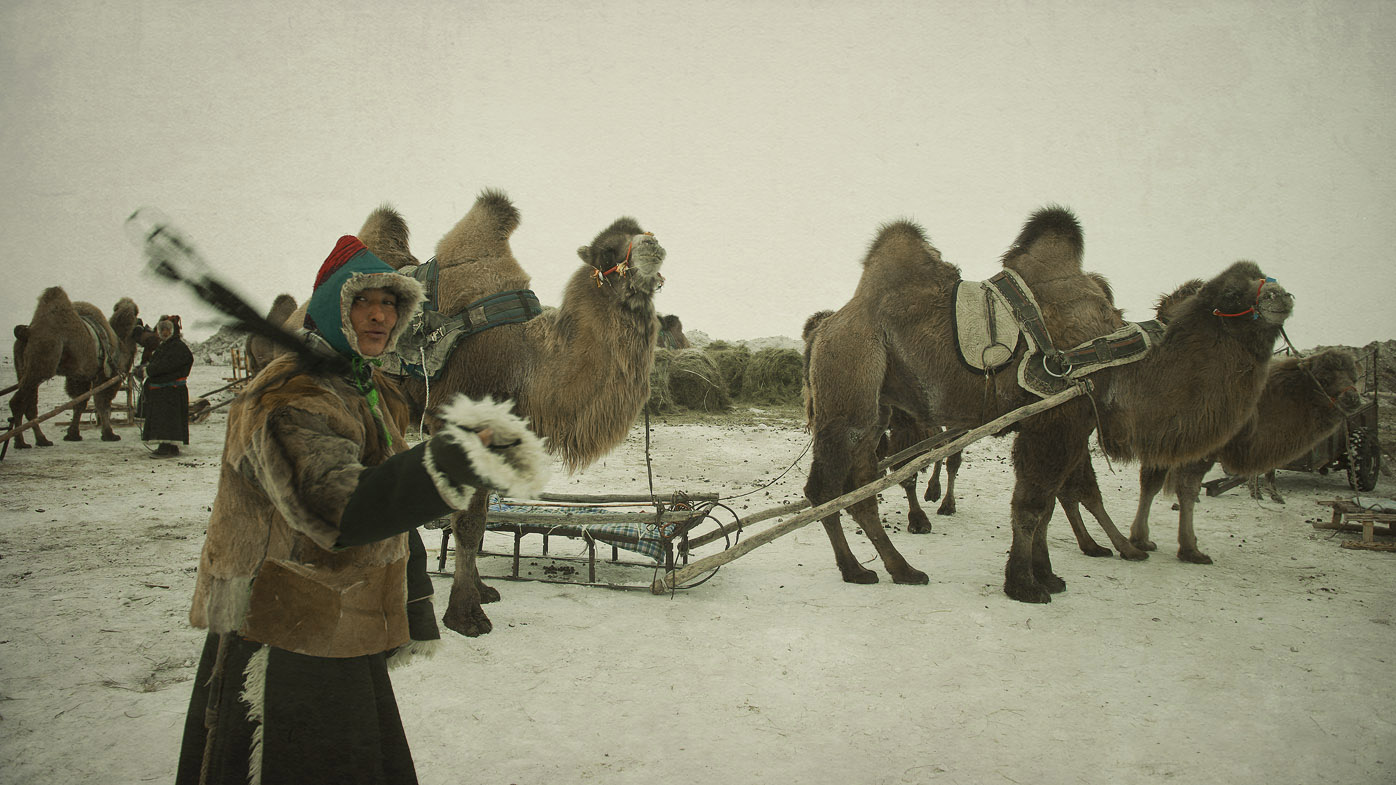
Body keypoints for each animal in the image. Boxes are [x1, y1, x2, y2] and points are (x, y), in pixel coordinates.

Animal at [8, 289, 140, 446]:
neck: (120, 342)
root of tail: (27, 332)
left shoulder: (80, 377)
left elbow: (79, 404)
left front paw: (73, 434)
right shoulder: (107, 375)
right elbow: (102, 403)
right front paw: (109, 434)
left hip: (23, 368)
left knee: (30, 406)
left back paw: (40, 440)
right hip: (42, 363)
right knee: (18, 402)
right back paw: (21, 442)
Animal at [357, 191, 667, 636]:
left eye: (643, 231)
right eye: (607, 249)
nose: (652, 244)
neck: (527, 362)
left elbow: (481, 517)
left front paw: (481, 592)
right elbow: (467, 522)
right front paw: (465, 616)